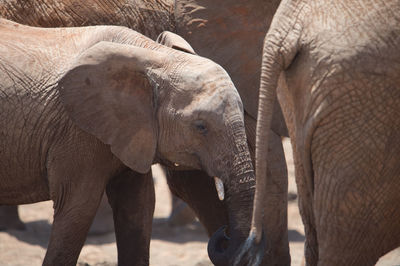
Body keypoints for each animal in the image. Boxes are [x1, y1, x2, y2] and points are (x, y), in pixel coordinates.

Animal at [0, 1, 290, 264]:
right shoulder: (76, 131)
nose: (225, 235)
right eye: (201, 127)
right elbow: (78, 208)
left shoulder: (131, 133)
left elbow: (138, 207)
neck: (153, 55)